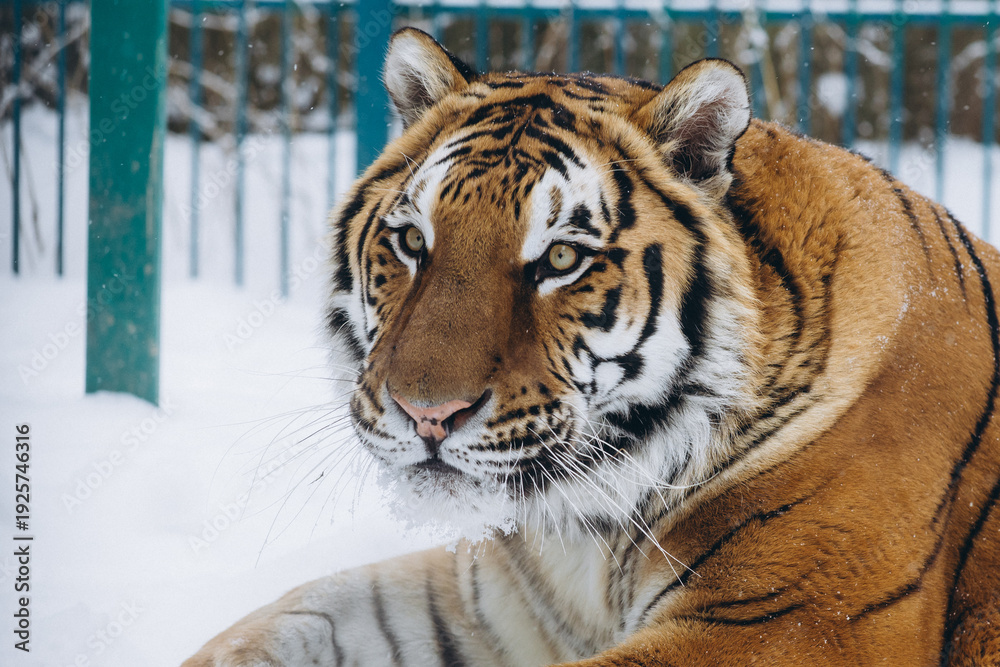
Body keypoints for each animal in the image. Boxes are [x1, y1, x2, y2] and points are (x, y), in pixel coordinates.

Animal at [183, 27, 1000, 667]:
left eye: (561, 259)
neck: (588, 530)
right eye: (413, 241)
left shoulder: (793, 622)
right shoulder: (489, 603)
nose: (426, 415)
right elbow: (282, 618)